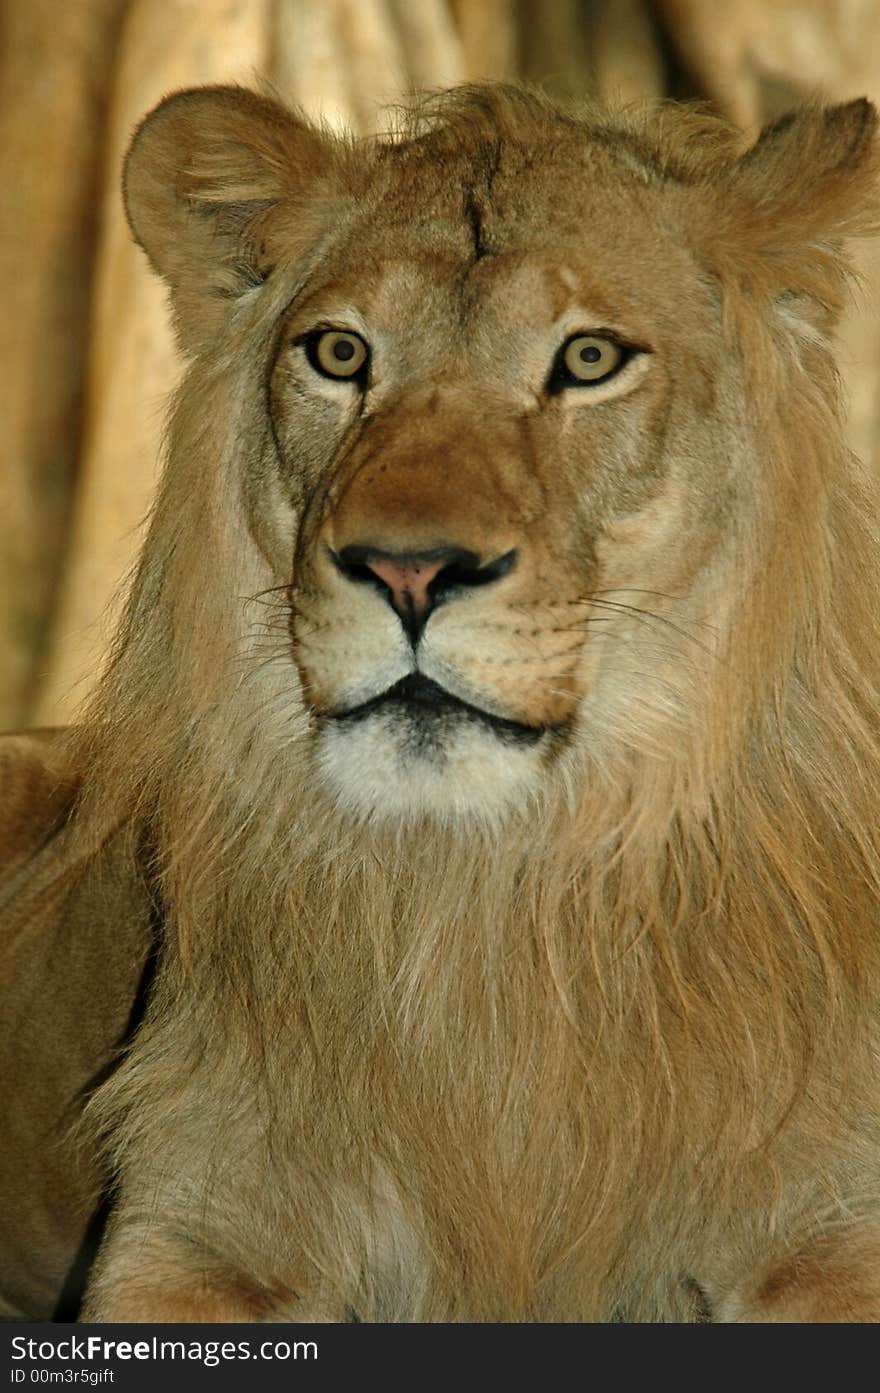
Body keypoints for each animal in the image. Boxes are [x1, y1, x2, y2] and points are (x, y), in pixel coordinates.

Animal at [1, 81, 880, 1320]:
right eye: (338, 353)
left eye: (589, 358)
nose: (408, 571)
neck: (488, 887)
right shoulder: (197, 1223)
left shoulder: (831, 1219)